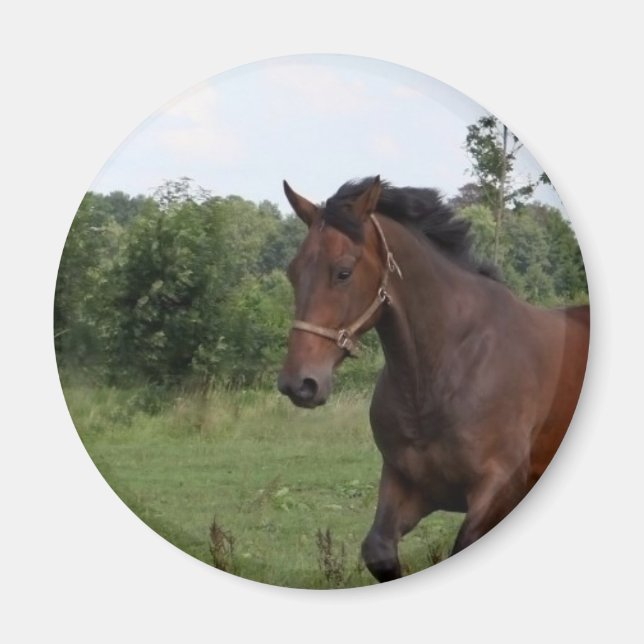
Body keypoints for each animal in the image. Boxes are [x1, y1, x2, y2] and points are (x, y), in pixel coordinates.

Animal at [277, 176, 590, 583]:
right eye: (293, 271)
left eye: (343, 272)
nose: (299, 383)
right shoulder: (409, 484)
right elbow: (379, 551)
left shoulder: (500, 486)